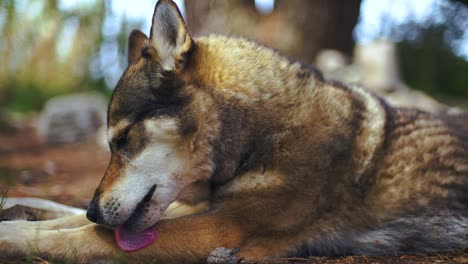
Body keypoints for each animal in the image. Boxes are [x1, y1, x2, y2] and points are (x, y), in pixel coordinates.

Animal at [0, 1, 468, 262]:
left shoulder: (219, 229)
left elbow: (86, 237)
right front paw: (24, 213)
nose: (97, 209)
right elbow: (73, 221)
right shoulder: (200, 209)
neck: (264, 136)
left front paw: (15, 236)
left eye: (124, 139)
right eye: (112, 144)